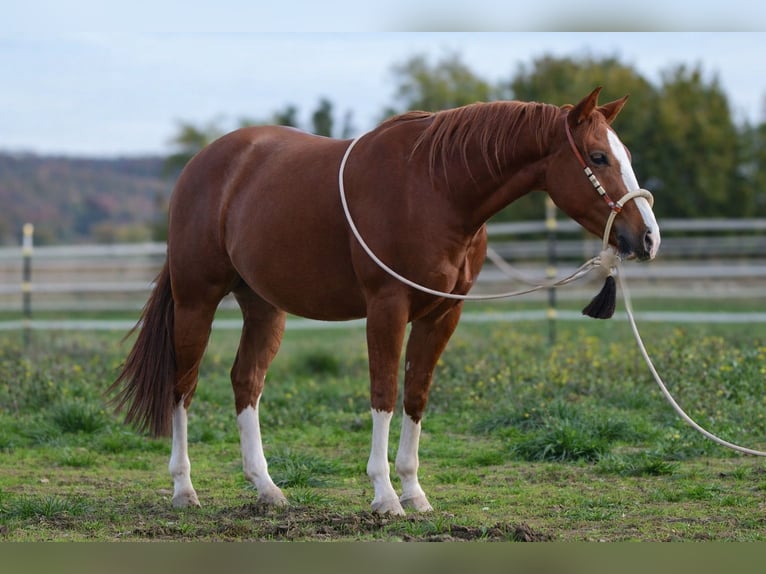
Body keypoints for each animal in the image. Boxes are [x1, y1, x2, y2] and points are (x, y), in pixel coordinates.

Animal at [110, 87, 660, 515]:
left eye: (628, 155)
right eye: (598, 157)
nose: (648, 238)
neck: (436, 189)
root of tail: (205, 163)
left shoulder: (443, 315)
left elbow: (415, 396)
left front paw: (415, 493)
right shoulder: (387, 308)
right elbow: (383, 393)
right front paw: (384, 495)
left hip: (264, 307)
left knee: (246, 381)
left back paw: (267, 488)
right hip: (196, 299)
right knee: (182, 386)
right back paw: (184, 489)